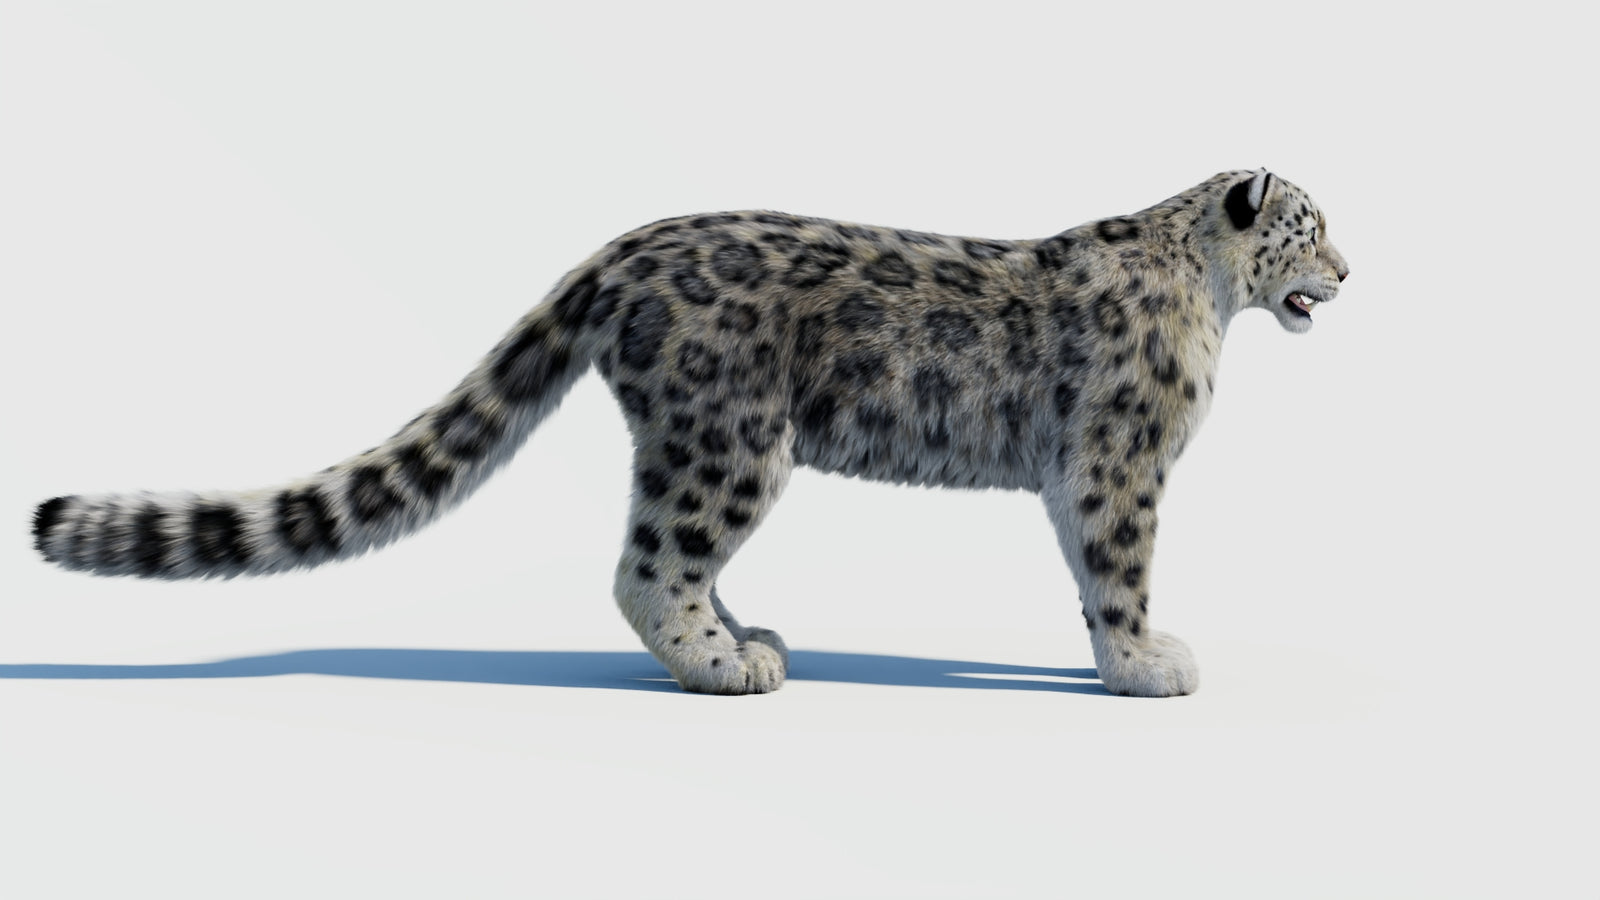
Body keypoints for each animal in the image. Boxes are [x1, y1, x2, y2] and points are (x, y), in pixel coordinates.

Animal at [31, 168, 1349, 697]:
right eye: (1311, 224)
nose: (1349, 270)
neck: (1208, 288)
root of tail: (621, 251)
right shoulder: (1120, 460)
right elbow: (1117, 568)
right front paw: (1144, 664)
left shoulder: (1085, 472)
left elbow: (1086, 573)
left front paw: (1117, 657)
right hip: (729, 439)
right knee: (650, 560)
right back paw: (724, 666)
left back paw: (746, 634)